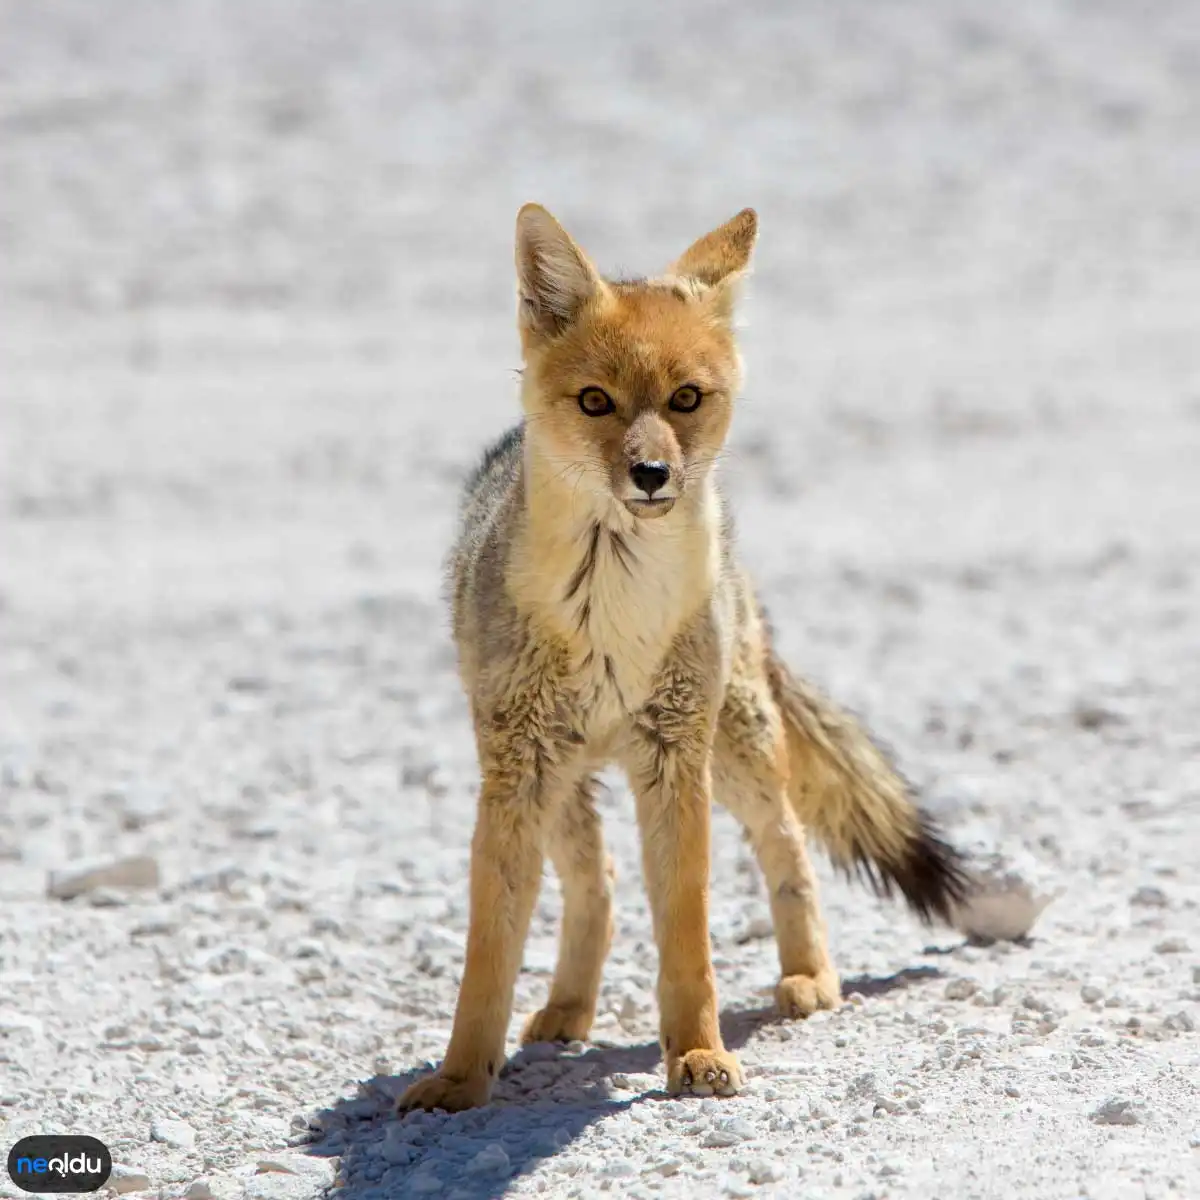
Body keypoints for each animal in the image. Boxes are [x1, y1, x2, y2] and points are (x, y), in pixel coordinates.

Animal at [398, 206, 969, 1113]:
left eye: (686, 399)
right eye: (596, 401)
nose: (651, 473)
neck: (609, 612)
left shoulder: (676, 759)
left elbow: (687, 935)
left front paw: (698, 1053)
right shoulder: (517, 771)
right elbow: (488, 949)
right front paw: (458, 1081)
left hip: (734, 748)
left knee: (788, 842)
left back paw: (810, 975)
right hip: (556, 781)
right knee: (597, 885)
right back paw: (567, 1010)